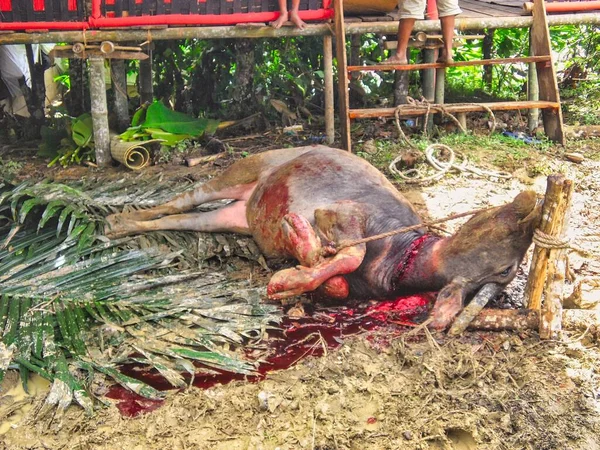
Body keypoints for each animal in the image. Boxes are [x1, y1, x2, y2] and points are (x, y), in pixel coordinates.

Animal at [105, 146, 540, 328]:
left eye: (505, 271)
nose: (529, 201)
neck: (397, 260)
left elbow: (337, 282)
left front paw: (299, 264)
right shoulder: (340, 212)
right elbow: (351, 251)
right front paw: (295, 254)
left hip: (231, 218)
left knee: (184, 219)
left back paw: (124, 224)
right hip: (245, 168)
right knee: (181, 199)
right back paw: (120, 220)